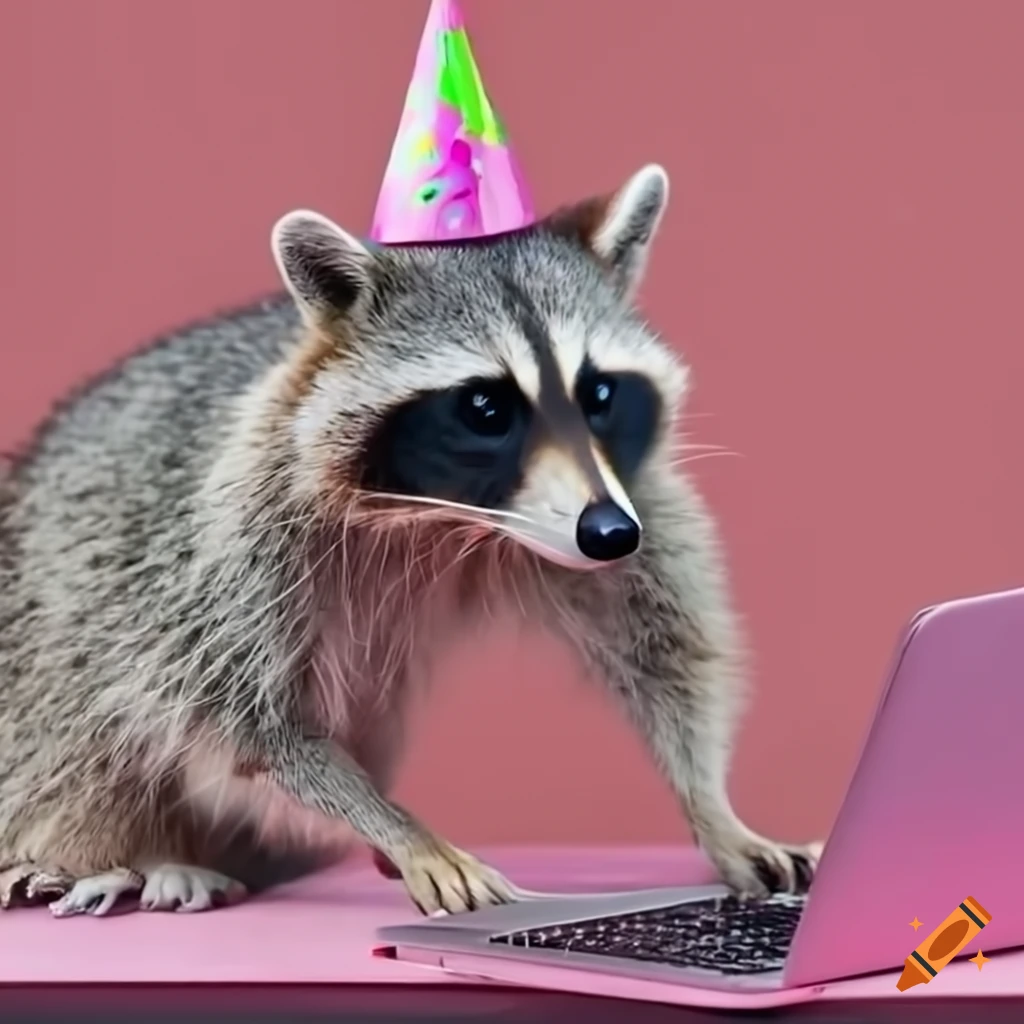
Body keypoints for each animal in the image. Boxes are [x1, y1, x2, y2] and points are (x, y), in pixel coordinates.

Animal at [0, 165, 819, 917]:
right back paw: (117, 860)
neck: (448, 519)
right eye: (486, 407)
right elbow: (251, 720)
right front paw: (399, 827)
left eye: (598, 393)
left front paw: (712, 805)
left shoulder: (627, 491)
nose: (611, 537)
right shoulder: (237, 541)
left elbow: (671, 653)